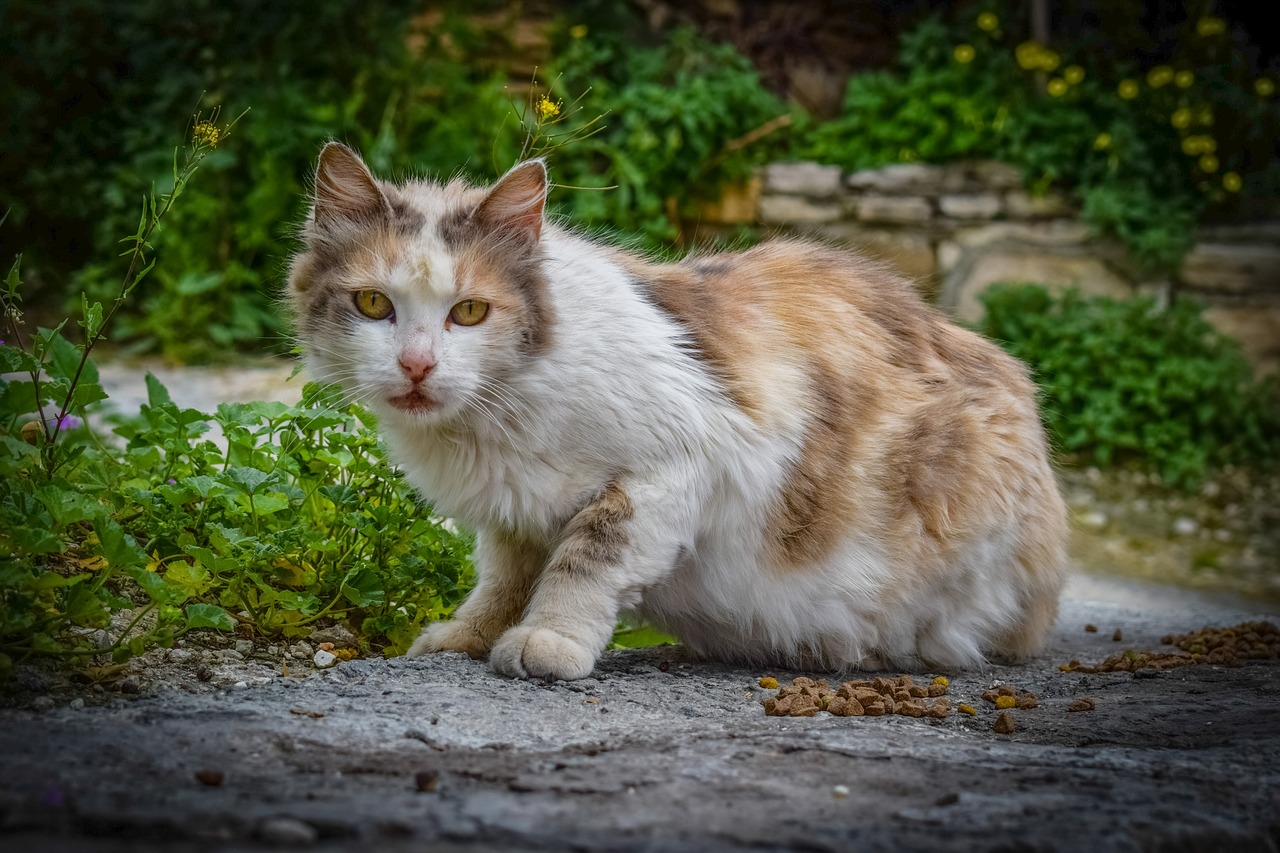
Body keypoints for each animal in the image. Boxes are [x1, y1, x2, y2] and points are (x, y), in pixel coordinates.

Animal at [290, 142, 1070, 681]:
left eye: (471, 312)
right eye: (373, 304)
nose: (417, 365)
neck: (493, 422)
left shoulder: (677, 468)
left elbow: (584, 560)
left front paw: (550, 641)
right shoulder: (514, 515)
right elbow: (503, 580)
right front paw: (467, 637)